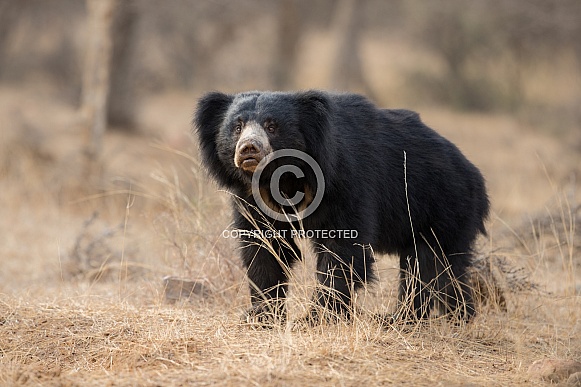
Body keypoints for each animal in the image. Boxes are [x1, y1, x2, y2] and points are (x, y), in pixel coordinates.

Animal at [195, 91, 490, 328]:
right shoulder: (253, 200)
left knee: (428, 265)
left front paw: (316, 318)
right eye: (237, 127)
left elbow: (342, 249)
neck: (283, 178)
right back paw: (459, 314)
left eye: (271, 126)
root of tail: (475, 176)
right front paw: (261, 315)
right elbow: (264, 247)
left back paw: (402, 318)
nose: (249, 149)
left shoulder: (346, 182)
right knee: (443, 269)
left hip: (441, 206)